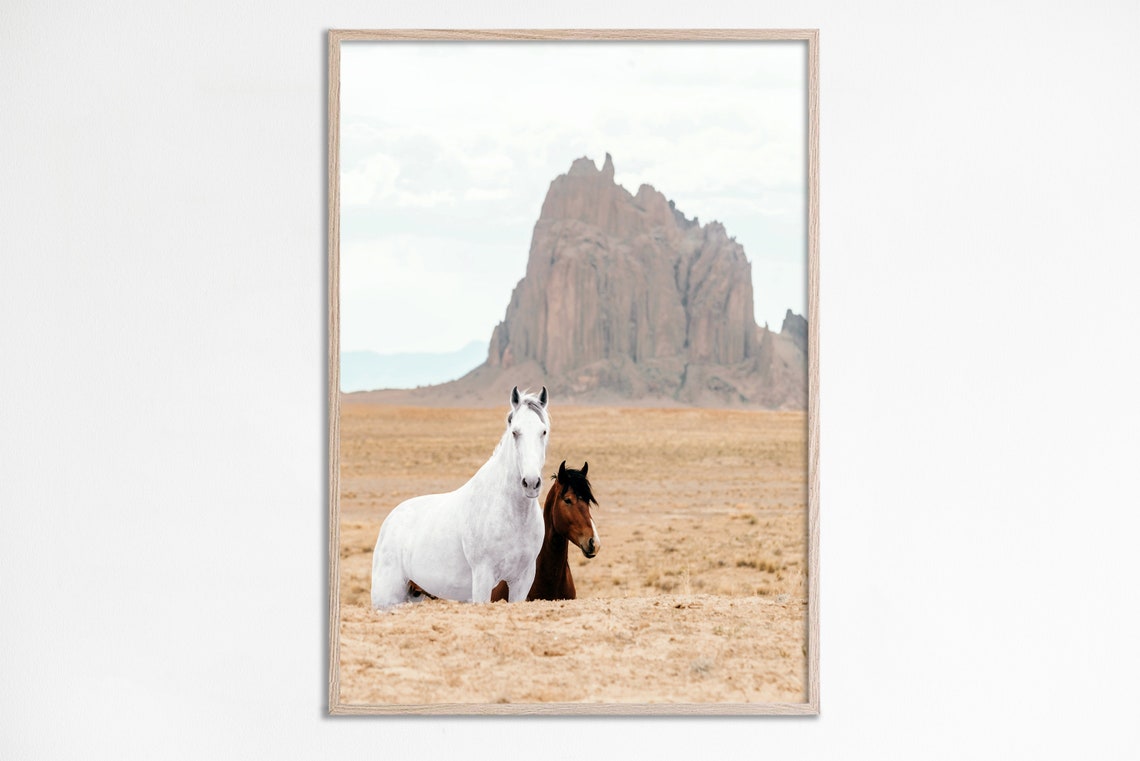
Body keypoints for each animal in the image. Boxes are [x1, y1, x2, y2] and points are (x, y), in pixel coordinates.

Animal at [370, 386, 550, 609]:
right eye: (515, 432)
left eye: (543, 431)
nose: (531, 482)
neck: (511, 513)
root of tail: (389, 520)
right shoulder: (483, 576)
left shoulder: (522, 579)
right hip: (387, 597)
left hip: (414, 593)